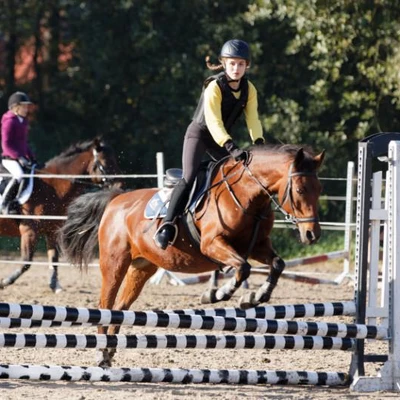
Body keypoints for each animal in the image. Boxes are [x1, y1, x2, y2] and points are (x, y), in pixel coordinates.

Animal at [0, 137, 122, 290]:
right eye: (106, 162)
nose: (120, 185)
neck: (52, 186)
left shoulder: (52, 231)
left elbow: (54, 258)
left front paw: (54, 285)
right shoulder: (29, 230)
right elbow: (26, 262)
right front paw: (5, 281)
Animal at [61, 145, 324, 368]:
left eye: (319, 191)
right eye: (300, 190)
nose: (312, 234)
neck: (246, 194)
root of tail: (115, 199)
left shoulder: (257, 246)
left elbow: (277, 264)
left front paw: (254, 297)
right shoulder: (212, 244)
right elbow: (242, 268)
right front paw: (217, 294)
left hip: (142, 267)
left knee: (120, 307)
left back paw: (109, 351)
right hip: (114, 262)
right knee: (105, 304)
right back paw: (100, 352)